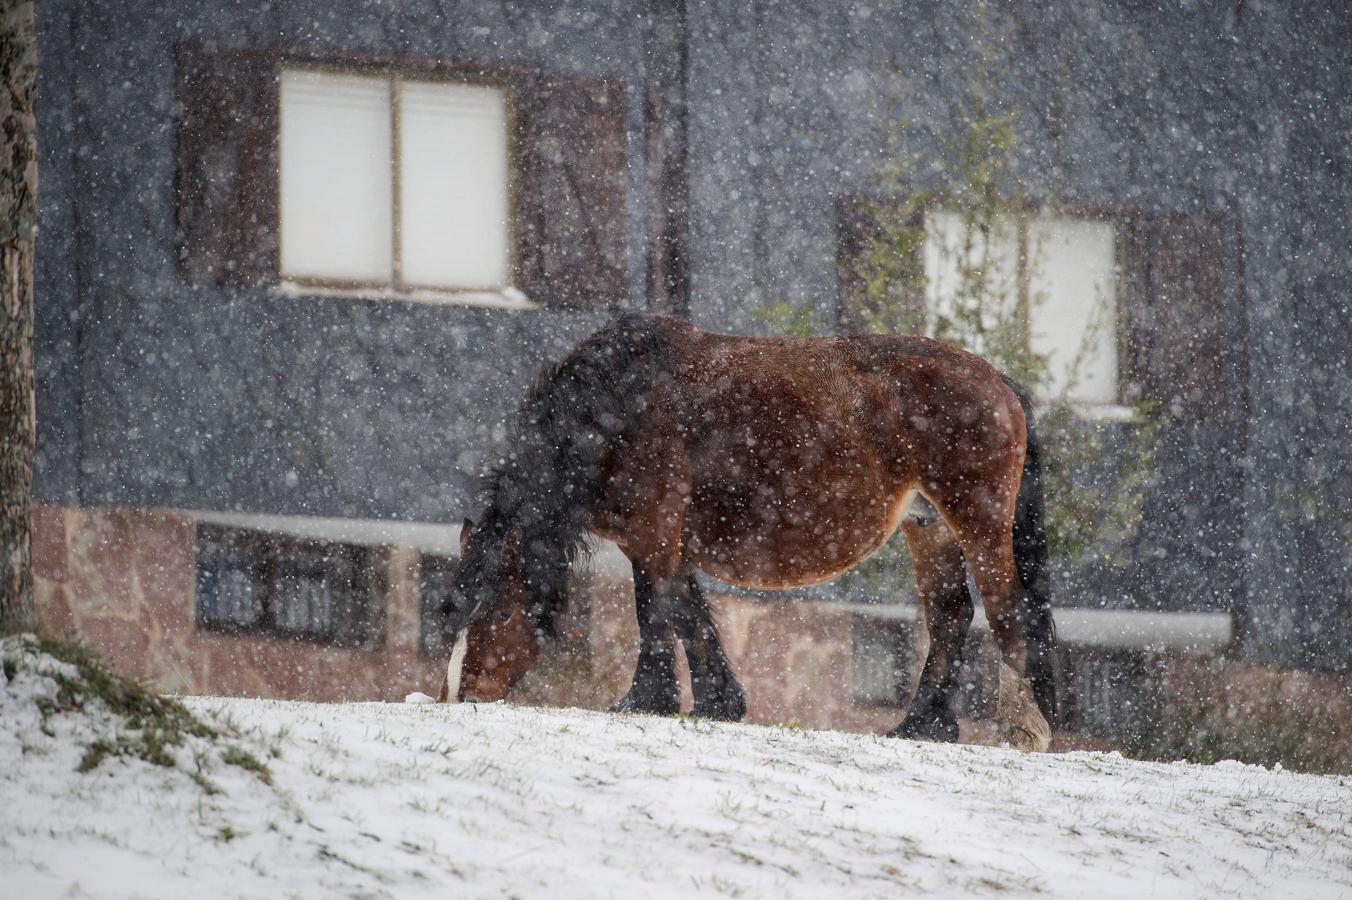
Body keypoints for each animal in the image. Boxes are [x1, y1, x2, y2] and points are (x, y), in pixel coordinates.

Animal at [438, 312, 1059, 745]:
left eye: (496, 610)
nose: (461, 696)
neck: (617, 411)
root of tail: (998, 381)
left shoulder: (653, 535)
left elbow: (656, 612)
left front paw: (648, 698)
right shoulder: (665, 542)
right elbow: (688, 613)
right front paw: (719, 701)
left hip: (978, 523)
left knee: (1007, 611)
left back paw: (1021, 730)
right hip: (930, 529)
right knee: (950, 615)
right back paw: (921, 727)